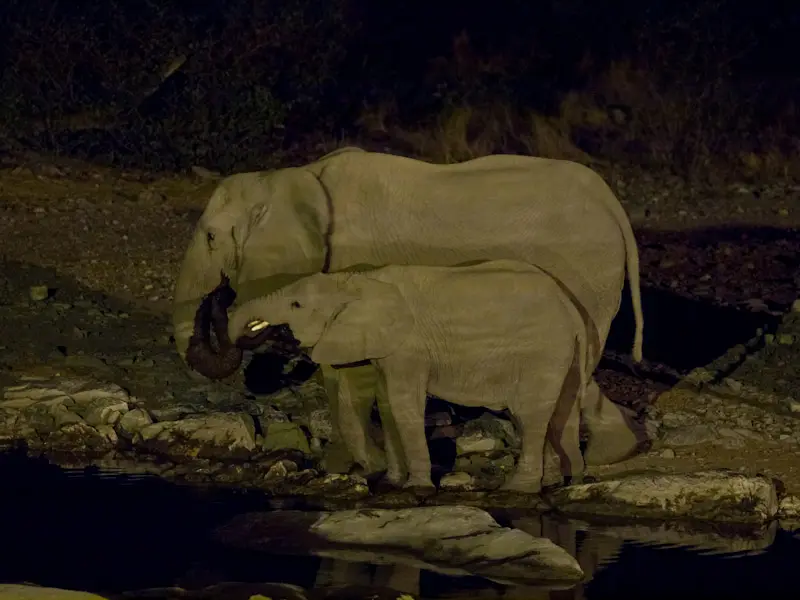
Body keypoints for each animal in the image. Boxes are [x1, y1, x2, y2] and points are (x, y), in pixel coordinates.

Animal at [216, 260, 592, 492]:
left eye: (296, 305)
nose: (261, 333)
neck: (356, 280)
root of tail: (572, 307)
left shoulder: (409, 348)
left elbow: (403, 404)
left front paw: (416, 488)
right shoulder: (389, 349)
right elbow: (386, 404)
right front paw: (391, 483)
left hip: (542, 351)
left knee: (531, 414)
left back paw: (518, 489)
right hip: (563, 353)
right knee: (561, 412)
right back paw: (561, 481)